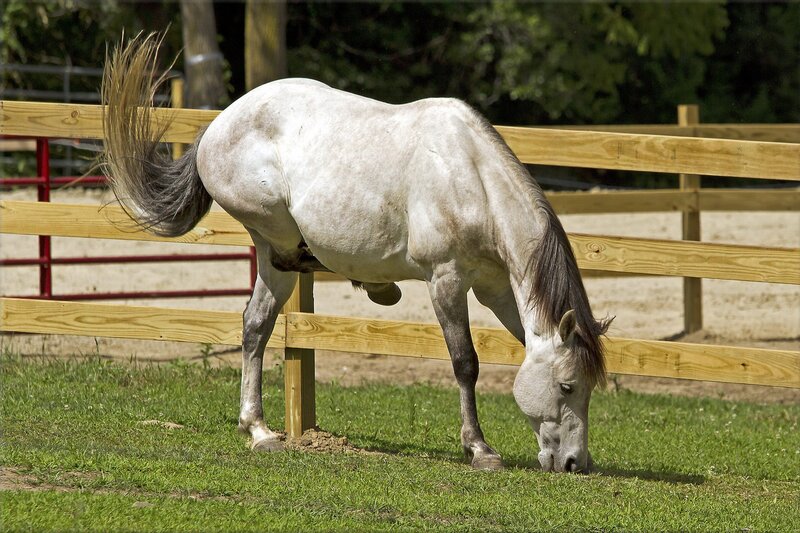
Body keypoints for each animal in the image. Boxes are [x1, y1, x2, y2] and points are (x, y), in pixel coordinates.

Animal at [101, 34, 612, 473]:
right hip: (273, 234)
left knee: (255, 326)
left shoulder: (497, 288)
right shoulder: (446, 281)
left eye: (588, 388)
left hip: (271, 263)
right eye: (566, 385)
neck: (471, 177)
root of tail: (220, 122)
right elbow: (466, 362)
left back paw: (260, 430)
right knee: (280, 273)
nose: (575, 464)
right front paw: (480, 448)